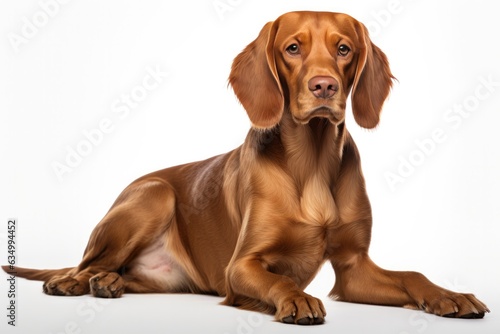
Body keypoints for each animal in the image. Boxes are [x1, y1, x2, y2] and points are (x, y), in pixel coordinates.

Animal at [2, 11, 488, 324]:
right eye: (292, 48)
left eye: (344, 49)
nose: (325, 86)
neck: (312, 162)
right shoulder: (241, 266)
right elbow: (280, 281)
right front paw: (297, 300)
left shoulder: (353, 269)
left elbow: (412, 274)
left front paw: (448, 295)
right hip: (153, 195)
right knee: (81, 264)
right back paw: (72, 282)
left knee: (117, 273)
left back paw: (108, 283)